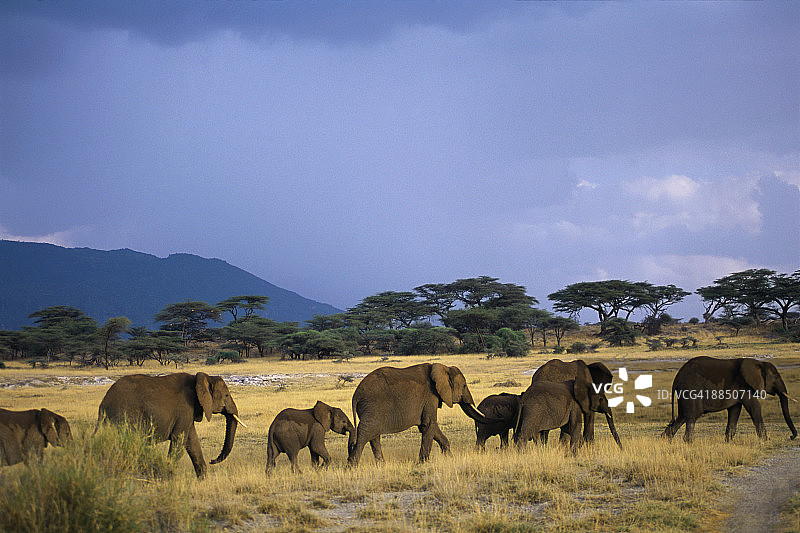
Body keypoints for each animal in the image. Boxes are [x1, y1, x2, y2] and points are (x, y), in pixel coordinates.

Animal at [98, 372, 244, 478]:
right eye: (226, 395)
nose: (212, 460)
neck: (201, 378)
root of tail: (103, 404)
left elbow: (192, 441)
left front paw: (202, 480)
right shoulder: (185, 407)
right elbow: (179, 439)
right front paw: (169, 477)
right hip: (124, 416)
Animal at [347, 363, 500, 465]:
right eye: (464, 386)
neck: (442, 368)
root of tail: (355, 395)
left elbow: (431, 428)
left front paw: (450, 458)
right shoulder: (430, 396)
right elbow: (428, 424)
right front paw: (423, 463)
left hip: (371, 409)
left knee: (374, 435)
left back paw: (381, 465)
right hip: (373, 406)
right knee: (366, 432)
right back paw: (352, 466)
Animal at [662, 356, 798, 442]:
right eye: (776, 377)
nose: (791, 437)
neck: (758, 362)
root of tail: (676, 379)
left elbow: (735, 410)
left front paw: (728, 442)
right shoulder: (744, 385)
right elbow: (754, 407)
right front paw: (766, 440)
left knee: (682, 417)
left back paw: (665, 440)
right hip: (691, 390)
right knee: (692, 416)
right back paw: (689, 442)